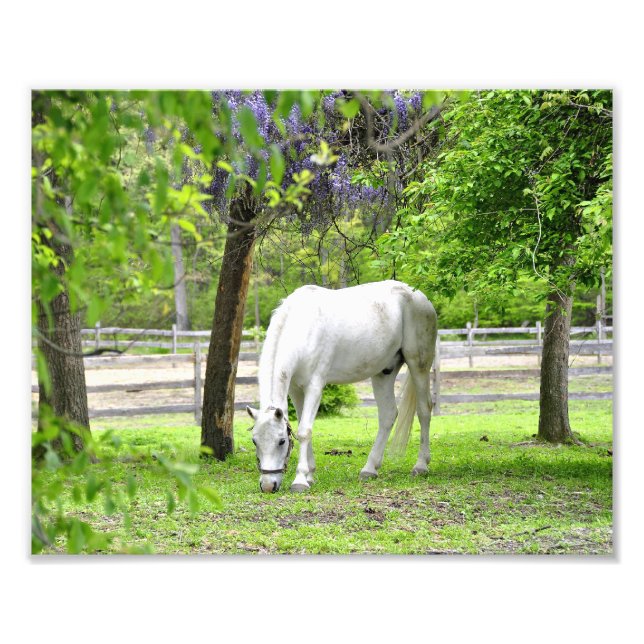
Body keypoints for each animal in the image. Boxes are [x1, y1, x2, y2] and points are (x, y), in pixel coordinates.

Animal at [246, 280, 438, 493]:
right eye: (254, 441)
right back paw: (370, 469)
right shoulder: (295, 390)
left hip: (418, 364)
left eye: (281, 441)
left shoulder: (314, 386)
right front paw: (310, 475)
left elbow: (304, 431)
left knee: (424, 410)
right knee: (388, 415)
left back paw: (421, 465)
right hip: (383, 373)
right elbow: (303, 426)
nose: (268, 485)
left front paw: (300, 480)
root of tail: (419, 296)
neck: (304, 328)